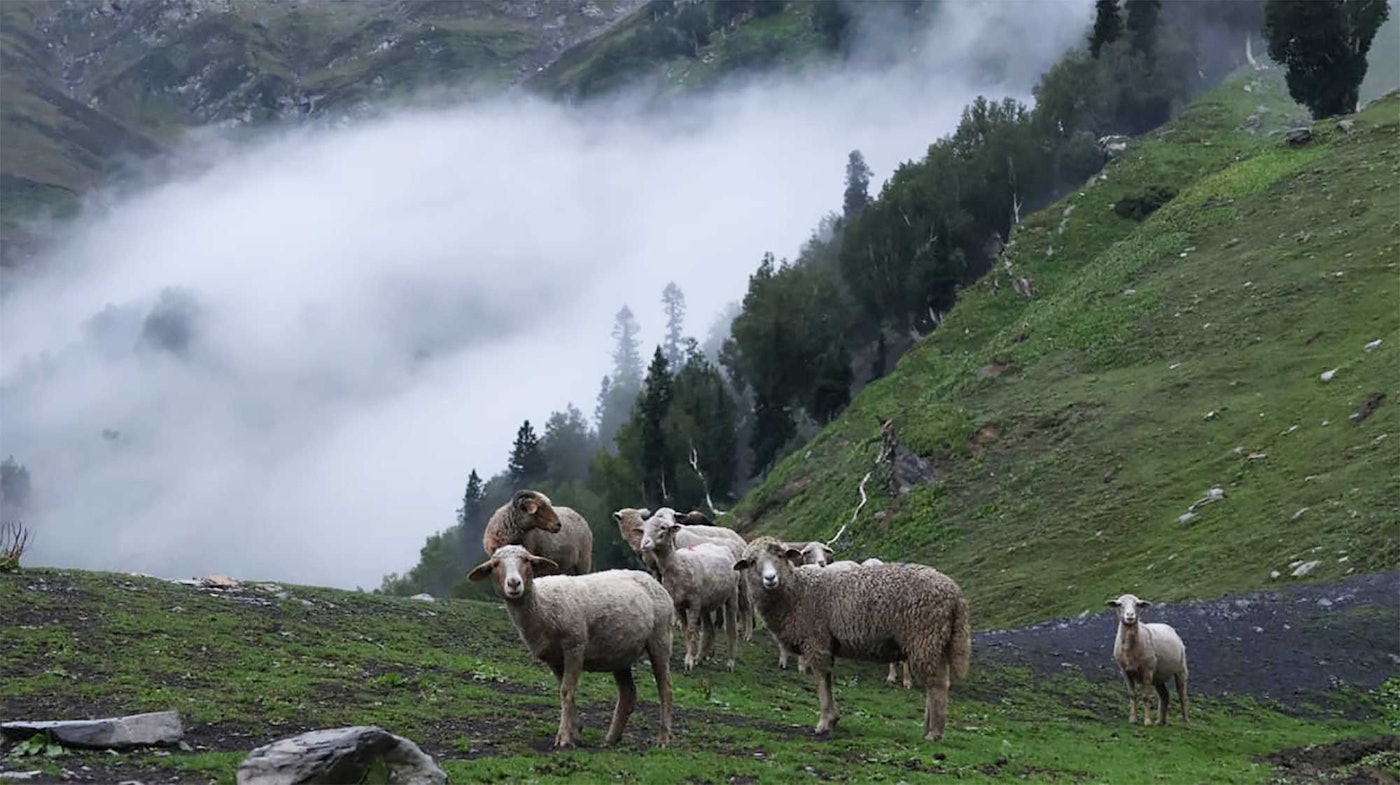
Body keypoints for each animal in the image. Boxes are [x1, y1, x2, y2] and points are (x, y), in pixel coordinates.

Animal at [467, 545, 673, 748]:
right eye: (495, 564)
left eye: (526, 560)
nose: (514, 583)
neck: (541, 605)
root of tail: (651, 580)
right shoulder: (553, 658)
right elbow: (564, 690)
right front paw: (575, 731)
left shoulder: (575, 646)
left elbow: (566, 691)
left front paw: (565, 737)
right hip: (620, 653)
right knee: (628, 694)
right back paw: (610, 739)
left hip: (660, 638)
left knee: (665, 689)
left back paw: (664, 739)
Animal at [638, 512, 741, 671]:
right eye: (644, 529)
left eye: (663, 527)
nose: (645, 543)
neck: (677, 564)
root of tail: (723, 548)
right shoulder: (678, 605)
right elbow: (685, 632)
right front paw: (690, 658)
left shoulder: (694, 602)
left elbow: (692, 632)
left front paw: (689, 662)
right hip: (706, 602)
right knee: (709, 630)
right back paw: (700, 657)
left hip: (731, 595)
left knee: (731, 628)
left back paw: (730, 662)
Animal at [734, 537, 970, 741]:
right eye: (752, 562)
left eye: (781, 556)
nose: (770, 578)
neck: (796, 592)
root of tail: (955, 593)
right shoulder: (824, 643)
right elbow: (827, 679)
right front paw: (832, 719)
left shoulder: (816, 639)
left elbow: (822, 680)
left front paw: (825, 722)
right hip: (937, 641)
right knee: (936, 682)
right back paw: (928, 727)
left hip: (924, 637)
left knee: (937, 683)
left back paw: (934, 733)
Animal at [1108, 594, 1189, 726]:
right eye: (1120, 604)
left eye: (1137, 604)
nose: (1130, 616)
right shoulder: (1125, 672)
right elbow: (1132, 695)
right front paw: (1133, 719)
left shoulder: (1147, 670)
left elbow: (1145, 696)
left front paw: (1147, 721)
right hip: (1159, 675)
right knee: (1164, 695)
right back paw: (1160, 721)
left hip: (1181, 669)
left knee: (1182, 694)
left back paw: (1186, 722)